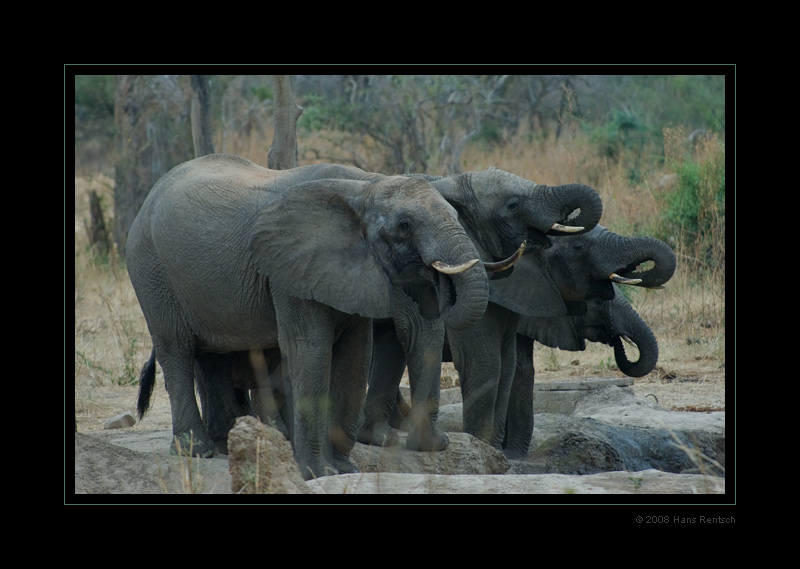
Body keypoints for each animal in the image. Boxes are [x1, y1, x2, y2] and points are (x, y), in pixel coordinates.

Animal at [126, 153, 494, 478]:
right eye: (404, 226)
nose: (440, 444)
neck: (364, 187)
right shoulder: (289, 267)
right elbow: (311, 349)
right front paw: (316, 473)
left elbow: (356, 356)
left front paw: (345, 470)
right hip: (151, 271)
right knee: (177, 350)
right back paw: (197, 451)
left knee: (211, 357)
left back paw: (233, 444)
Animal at [368, 224, 676, 454]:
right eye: (599, 302)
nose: (618, 341)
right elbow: (506, 367)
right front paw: (507, 453)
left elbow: (521, 369)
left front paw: (509, 451)